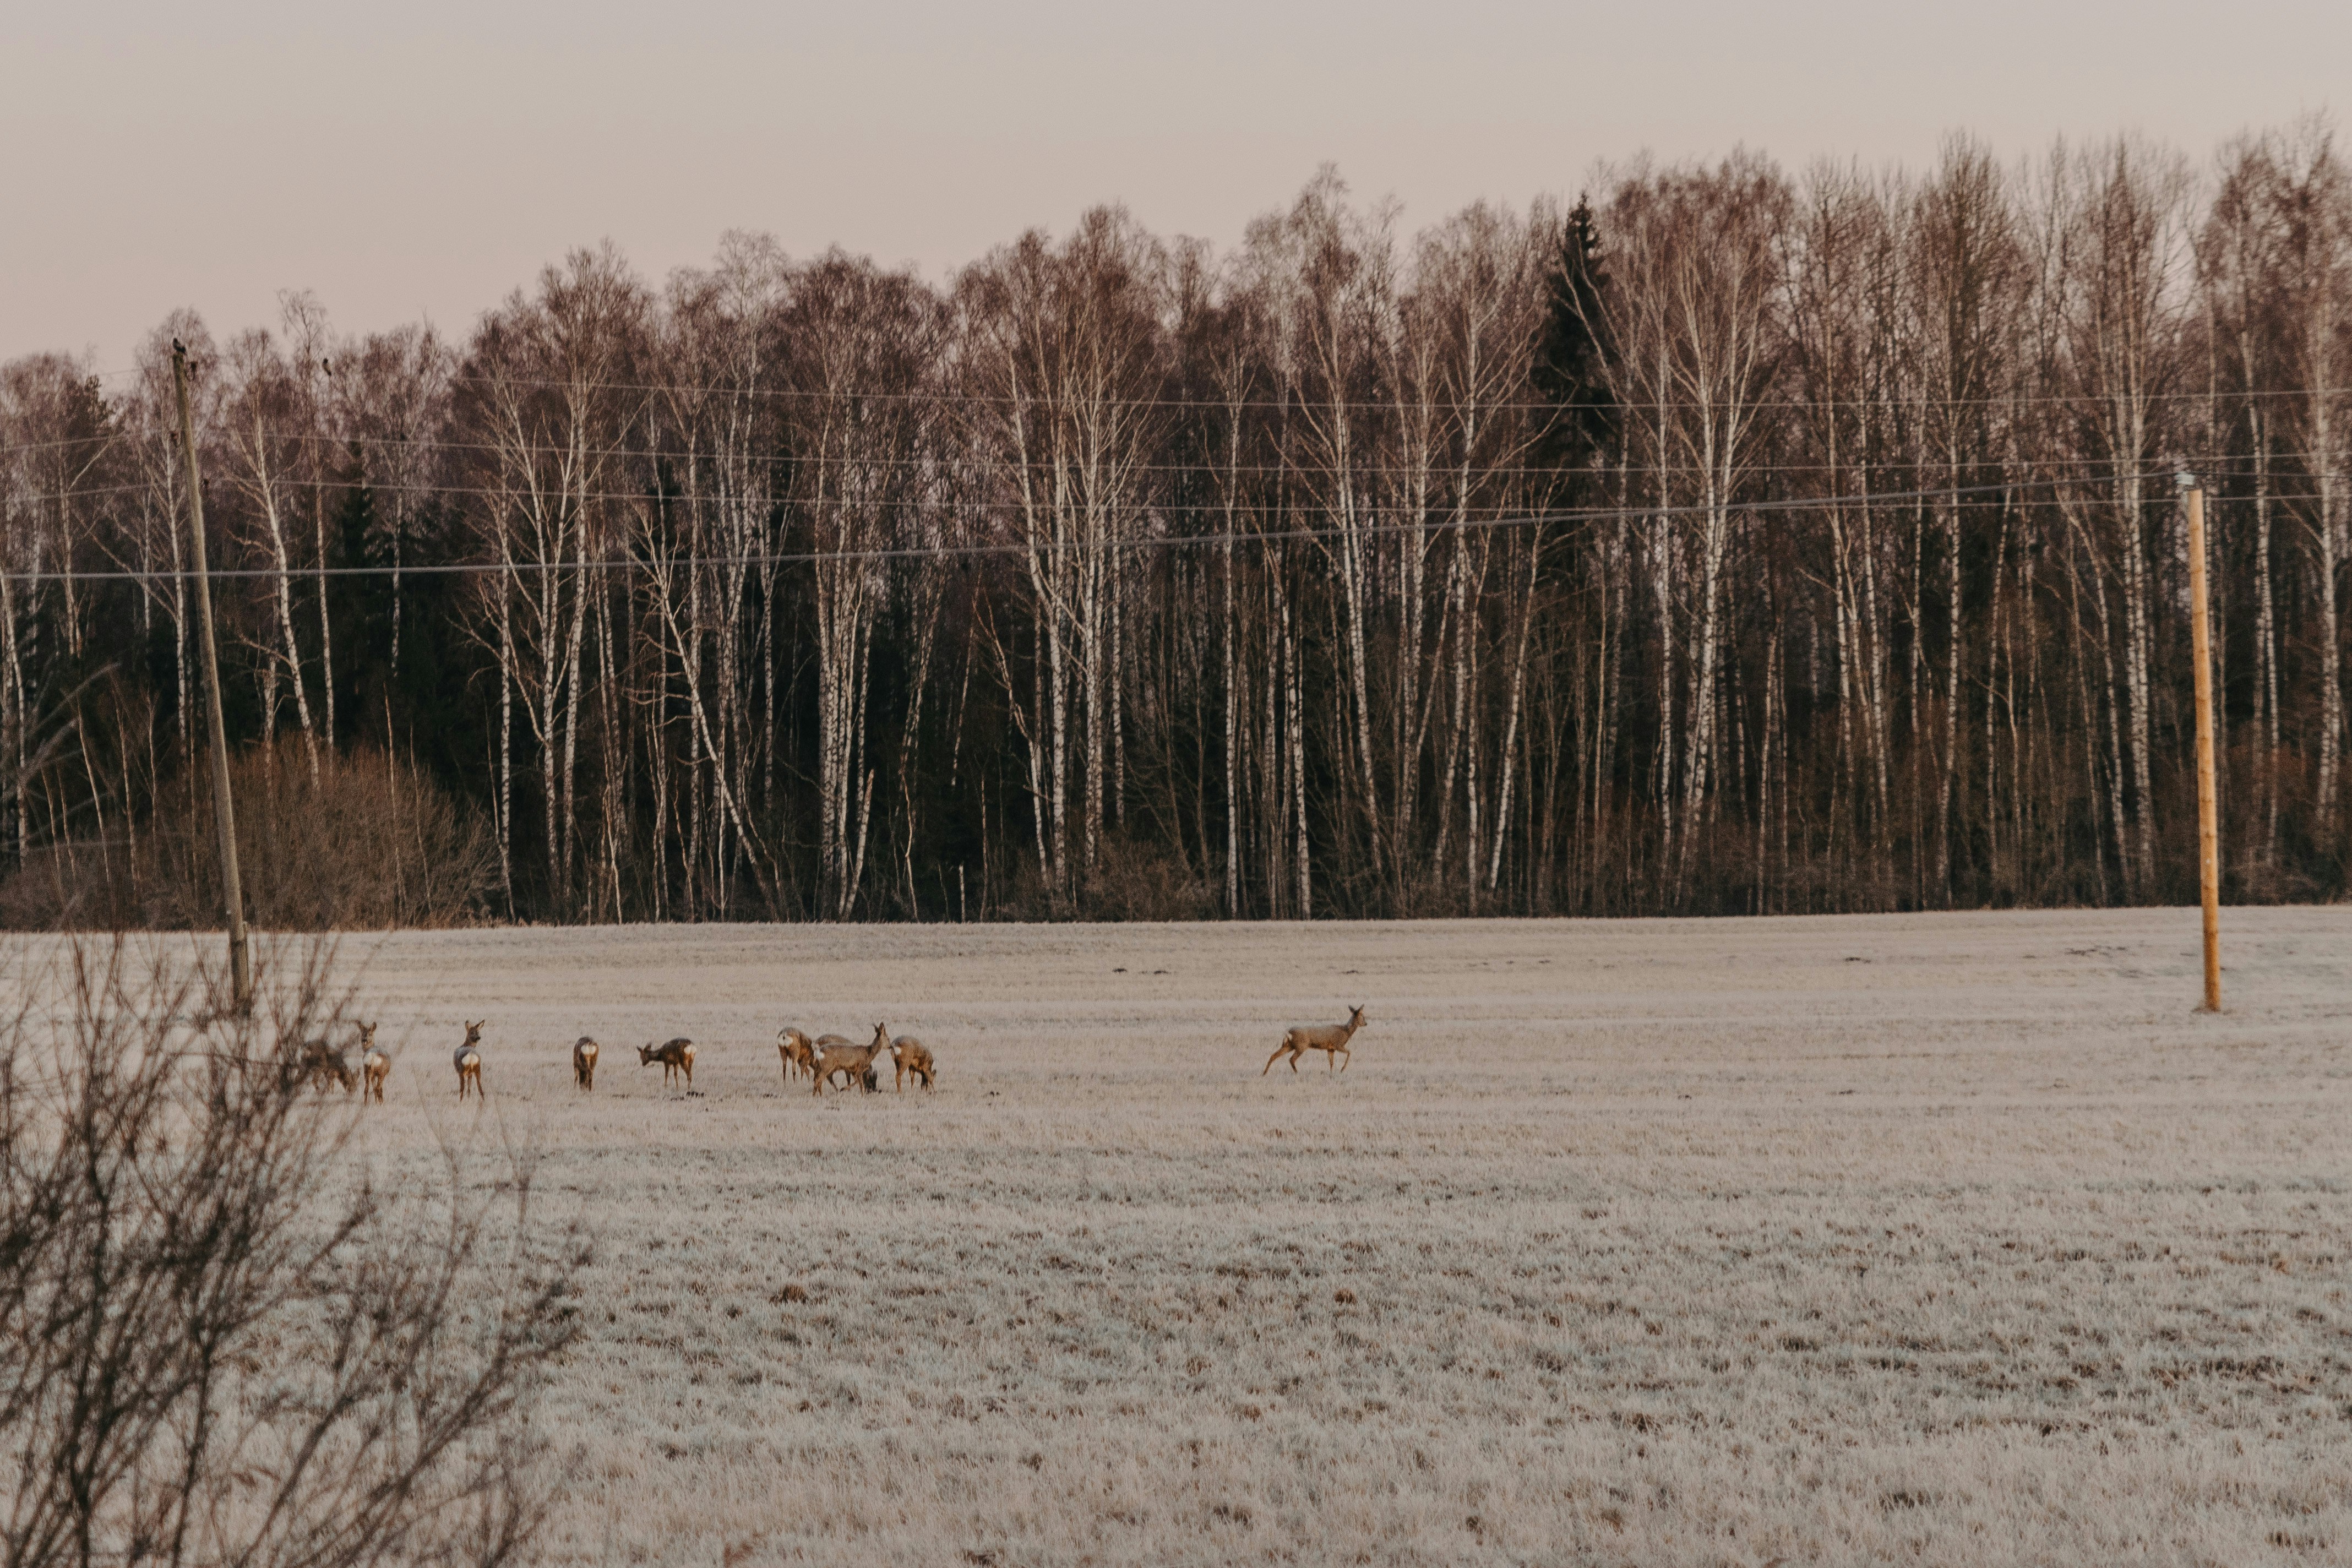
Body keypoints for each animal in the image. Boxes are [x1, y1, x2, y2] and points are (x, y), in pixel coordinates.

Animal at [359, 1021, 389, 1102]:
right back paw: (381, 1103)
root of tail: (372, 1058)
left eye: (370, 1033)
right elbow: (379, 1088)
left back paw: (365, 1103)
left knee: (367, 1089)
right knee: (378, 1088)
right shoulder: (381, 1074)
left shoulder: (372, 1075)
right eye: (363, 1033)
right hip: (381, 1073)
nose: (364, 1039)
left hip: (367, 1070)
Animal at [454, 1021, 485, 1100]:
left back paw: (460, 1101)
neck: (466, 1044)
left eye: (478, 1032)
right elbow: (469, 1088)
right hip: (477, 1070)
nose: (478, 1037)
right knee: (480, 1089)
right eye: (472, 1032)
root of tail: (471, 1055)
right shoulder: (470, 1074)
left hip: (462, 1072)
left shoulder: (461, 1073)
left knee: (462, 1088)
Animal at [808, 1026, 885, 1096]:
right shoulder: (848, 1070)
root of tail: (817, 1043)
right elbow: (849, 1080)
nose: (871, 1091)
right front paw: (846, 1090)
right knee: (825, 1077)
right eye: (871, 1080)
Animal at [1262, 1004, 1368, 1076]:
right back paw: (1297, 1073)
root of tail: (1288, 1032)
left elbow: (1331, 1063)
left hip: (1289, 1045)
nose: (1366, 1023)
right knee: (1292, 1059)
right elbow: (1350, 1052)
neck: (1346, 1031)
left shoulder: (1330, 1048)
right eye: (1363, 1017)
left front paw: (1331, 1074)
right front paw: (1342, 1070)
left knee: (1274, 1055)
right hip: (1301, 1046)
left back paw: (1264, 1073)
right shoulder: (1338, 1045)